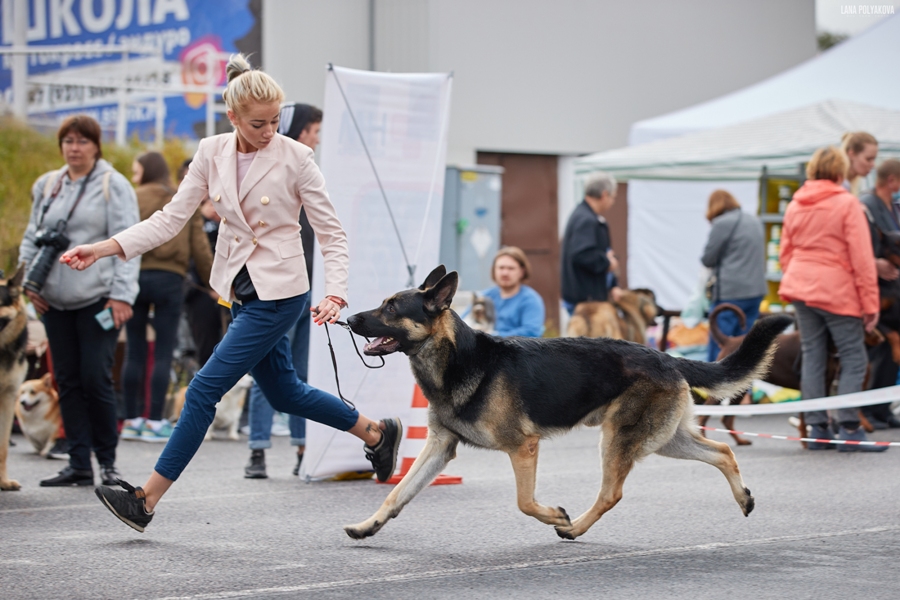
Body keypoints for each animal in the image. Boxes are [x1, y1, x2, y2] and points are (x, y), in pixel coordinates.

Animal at [344, 264, 788, 540]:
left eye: (390, 307)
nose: (348, 319)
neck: (458, 360)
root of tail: (666, 356)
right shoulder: (439, 447)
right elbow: (397, 494)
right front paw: (368, 525)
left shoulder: (524, 447)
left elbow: (524, 502)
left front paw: (555, 514)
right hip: (663, 440)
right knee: (723, 451)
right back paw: (743, 497)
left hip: (619, 441)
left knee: (611, 494)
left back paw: (574, 529)